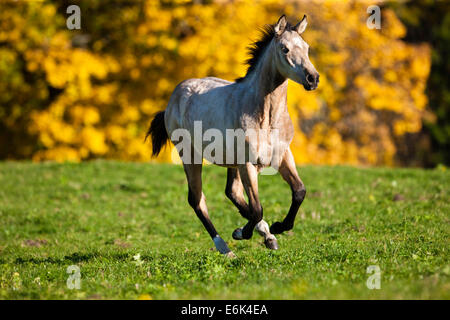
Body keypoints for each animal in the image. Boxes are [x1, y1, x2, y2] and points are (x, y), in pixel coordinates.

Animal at [146, 14, 318, 258]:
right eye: (284, 49)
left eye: (307, 47)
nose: (313, 79)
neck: (266, 117)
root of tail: (174, 98)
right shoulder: (248, 164)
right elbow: (257, 208)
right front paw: (241, 233)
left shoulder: (283, 156)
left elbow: (299, 191)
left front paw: (277, 227)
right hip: (190, 155)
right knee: (197, 199)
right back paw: (225, 248)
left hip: (231, 163)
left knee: (232, 192)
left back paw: (267, 235)